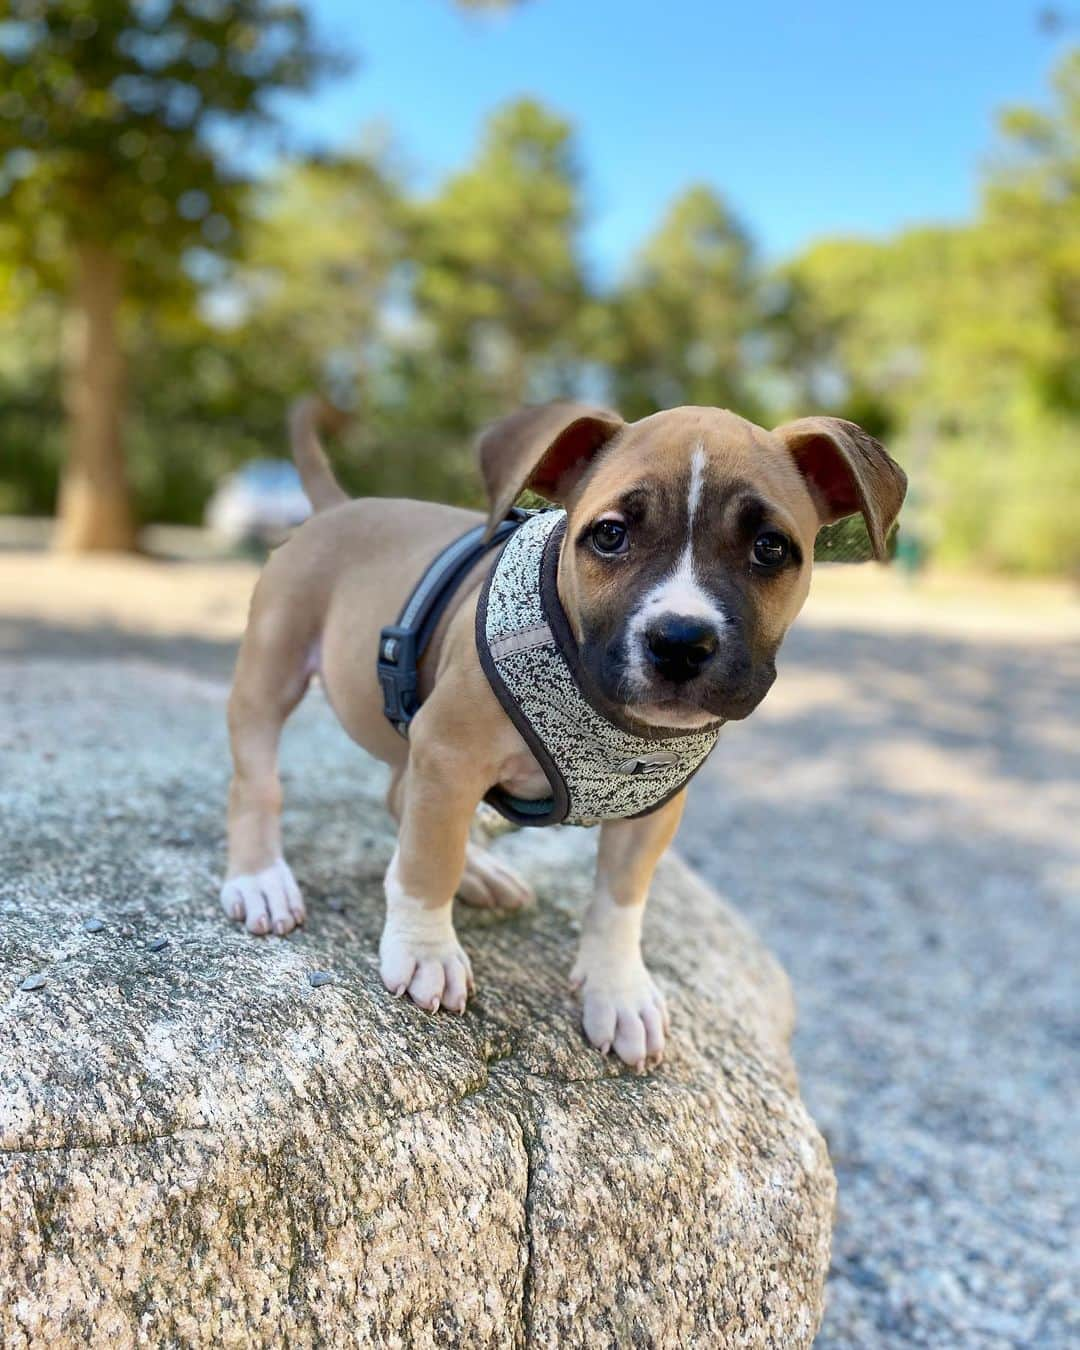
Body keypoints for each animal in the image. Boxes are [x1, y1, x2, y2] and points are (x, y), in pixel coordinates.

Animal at [224, 396, 907, 1063]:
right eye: (610, 535)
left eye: (769, 548)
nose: (681, 642)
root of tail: (340, 507)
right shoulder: (449, 750)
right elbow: (428, 860)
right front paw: (425, 950)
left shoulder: (651, 808)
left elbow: (621, 901)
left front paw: (619, 991)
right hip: (272, 670)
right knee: (260, 782)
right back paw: (262, 882)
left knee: (402, 797)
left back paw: (479, 871)